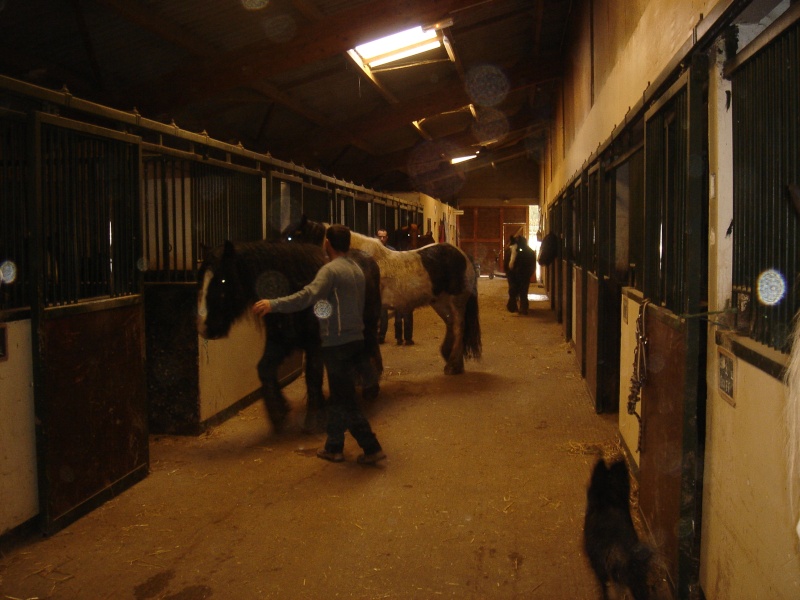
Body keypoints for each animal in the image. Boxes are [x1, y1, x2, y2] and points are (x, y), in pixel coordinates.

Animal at [194, 238, 382, 432]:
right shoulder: (279, 341)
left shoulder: (315, 344)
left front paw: (314, 418)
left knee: (370, 347)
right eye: (200, 281)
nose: (203, 327)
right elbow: (264, 369)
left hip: (368, 323)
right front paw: (279, 413)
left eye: (223, 280)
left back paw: (370, 388)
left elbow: (313, 374)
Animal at [282, 216, 482, 376]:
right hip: (440, 302)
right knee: (451, 325)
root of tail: (464, 257)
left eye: (292, 236)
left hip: (456, 303)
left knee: (458, 327)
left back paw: (453, 365)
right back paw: (452, 360)